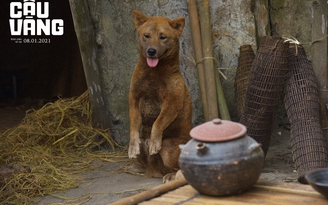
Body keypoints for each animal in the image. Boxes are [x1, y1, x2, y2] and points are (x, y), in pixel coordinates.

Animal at [128, 10, 192, 183]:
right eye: (147, 35)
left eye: (163, 37)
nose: (151, 51)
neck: (153, 73)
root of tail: (154, 171)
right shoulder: (134, 99)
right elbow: (134, 126)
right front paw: (132, 148)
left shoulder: (172, 102)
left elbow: (158, 122)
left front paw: (154, 143)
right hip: (146, 146)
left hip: (169, 147)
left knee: (181, 169)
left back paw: (171, 176)